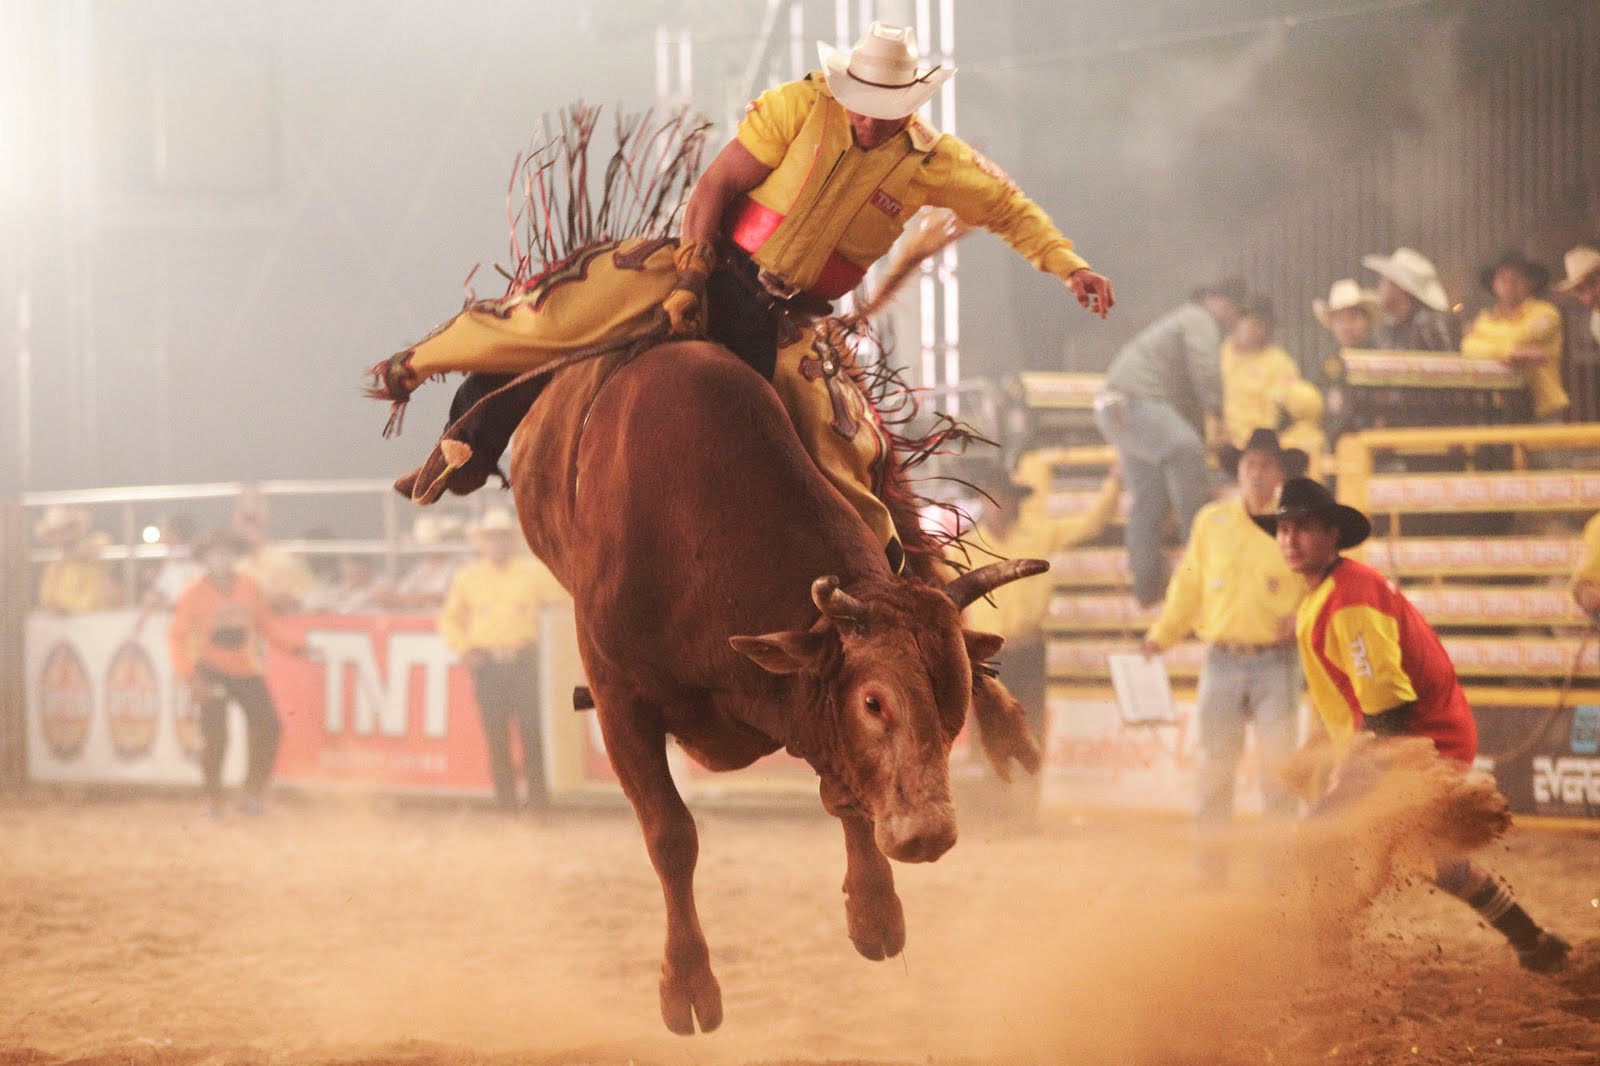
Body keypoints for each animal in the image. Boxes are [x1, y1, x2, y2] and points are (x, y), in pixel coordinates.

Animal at [505, 334, 1043, 1030]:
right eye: (874, 702)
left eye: (951, 702)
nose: (929, 832)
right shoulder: (617, 699)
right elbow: (671, 835)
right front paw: (687, 985)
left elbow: (845, 794)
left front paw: (874, 913)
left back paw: (1008, 731)